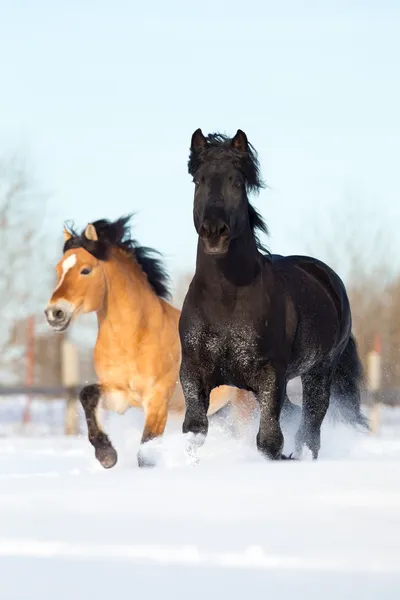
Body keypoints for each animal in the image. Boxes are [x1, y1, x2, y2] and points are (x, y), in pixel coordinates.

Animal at [45, 216, 260, 468]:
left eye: (85, 270)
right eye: (58, 269)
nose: (54, 313)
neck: (133, 340)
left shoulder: (157, 401)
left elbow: (146, 454)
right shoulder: (119, 395)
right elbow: (86, 395)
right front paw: (106, 454)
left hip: (243, 406)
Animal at [180, 129, 368, 462]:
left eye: (237, 181)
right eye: (198, 181)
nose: (214, 232)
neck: (224, 301)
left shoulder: (270, 375)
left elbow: (269, 440)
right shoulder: (192, 371)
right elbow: (194, 430)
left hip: (319, 371)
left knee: (310, 426)